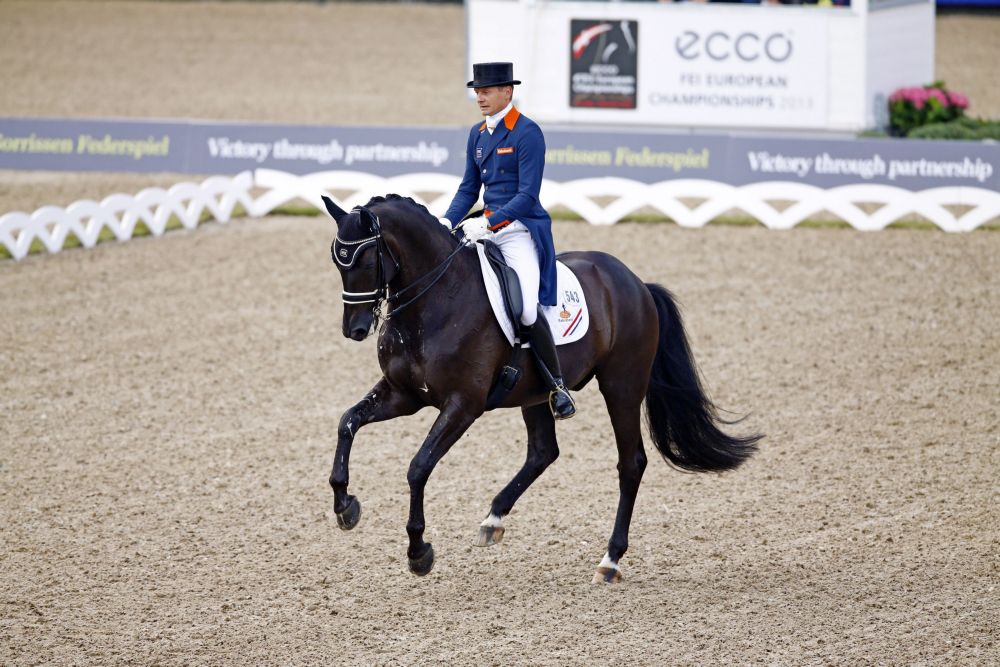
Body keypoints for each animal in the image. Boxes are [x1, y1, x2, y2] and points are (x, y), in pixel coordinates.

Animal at [324, 194, 760, 584]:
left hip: (622, 386)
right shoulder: (404, 394)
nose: (354, 329)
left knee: (631, 463)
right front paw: (345, 507)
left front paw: (419, 552)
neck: (435, 300)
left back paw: (610, 560)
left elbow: (418, 467)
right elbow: (348, 422)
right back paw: (493, 519)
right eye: (336, 260)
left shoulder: (463, 405)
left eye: (364, 259)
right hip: (533, 392)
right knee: (543, 452)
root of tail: (635, 282)